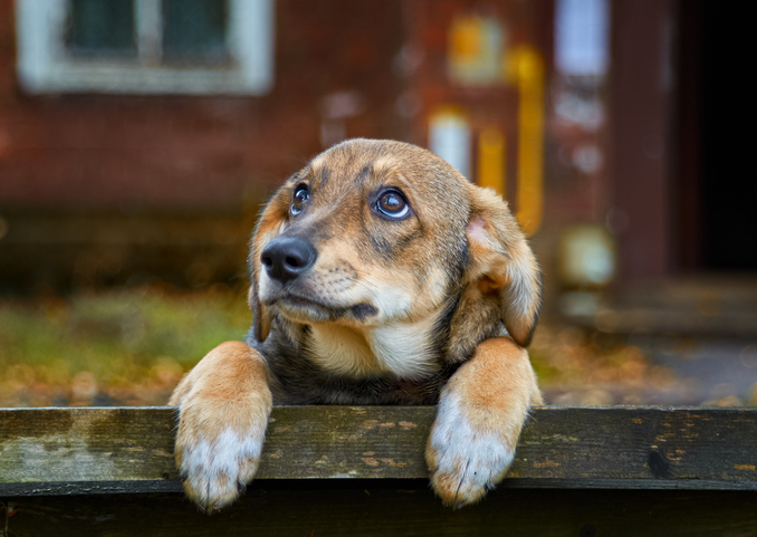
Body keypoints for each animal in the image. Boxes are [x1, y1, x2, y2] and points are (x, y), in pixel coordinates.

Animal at [169, 138, 540, 510]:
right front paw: (215, 441)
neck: (364, 370)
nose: (276, 257)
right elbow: (234, 349)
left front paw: (474, 440)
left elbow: (506, 346)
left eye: (392, 202)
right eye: (300, 196)